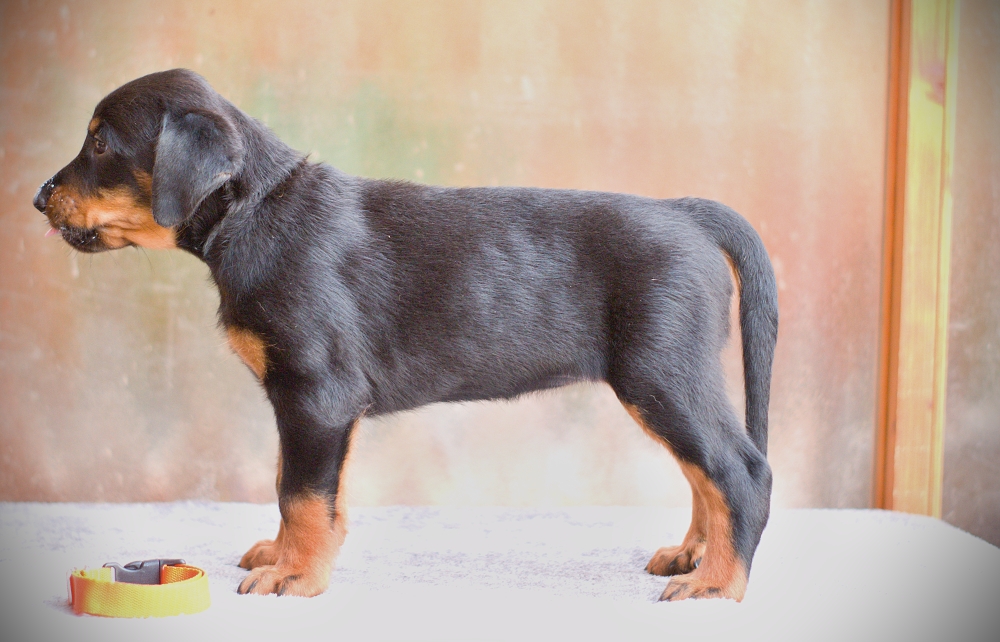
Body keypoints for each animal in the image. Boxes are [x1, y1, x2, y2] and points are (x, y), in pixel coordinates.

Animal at [35, 70, 776, 600]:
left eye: (100, 142)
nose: (39, 198)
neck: (257, 212)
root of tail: (687, 214)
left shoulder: (316, 395)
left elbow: (301, 493)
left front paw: (294, 576)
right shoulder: (313, 408)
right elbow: (304, 490)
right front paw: (287, 556)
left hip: (661, 374)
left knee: (741, 471)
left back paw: (717, 584)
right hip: (666, 380)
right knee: (705, 473)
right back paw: (695, 555)